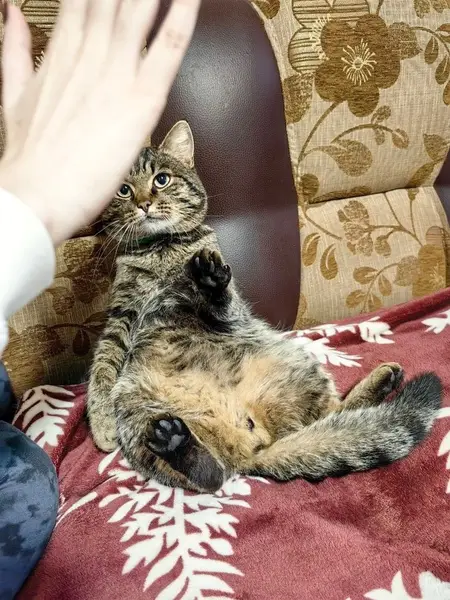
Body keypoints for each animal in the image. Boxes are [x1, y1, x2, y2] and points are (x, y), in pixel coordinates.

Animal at [87, 120, 442, 493]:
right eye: (124, 190)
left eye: (161, 179)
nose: (143, 203)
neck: (161, 250)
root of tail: (256, 446)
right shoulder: (122, 315)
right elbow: (102, 368)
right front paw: (101, 424)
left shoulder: (232, 310)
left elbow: (223, 301)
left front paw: (211, 280)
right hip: (139, 411)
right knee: (212, 475)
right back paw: (177, 443)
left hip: (294, 366)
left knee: (334, 415)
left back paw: (382, 381)